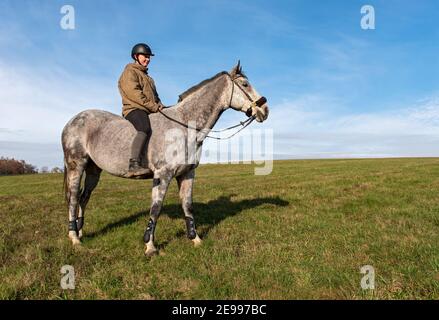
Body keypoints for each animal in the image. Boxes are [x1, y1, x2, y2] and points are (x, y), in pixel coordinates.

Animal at [61, 61, 268, 256]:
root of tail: (71, 121)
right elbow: (156, 208)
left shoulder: (187, 174)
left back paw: (80, 231)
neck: (184, 125)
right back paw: (74, 238)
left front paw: (195, 239)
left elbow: (188, 206)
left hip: (93, 170)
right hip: (76, 166)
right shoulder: (163, 174)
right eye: (245, 84)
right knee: (73, 198)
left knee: (84, 198)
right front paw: (150, 246)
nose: (265, 109)